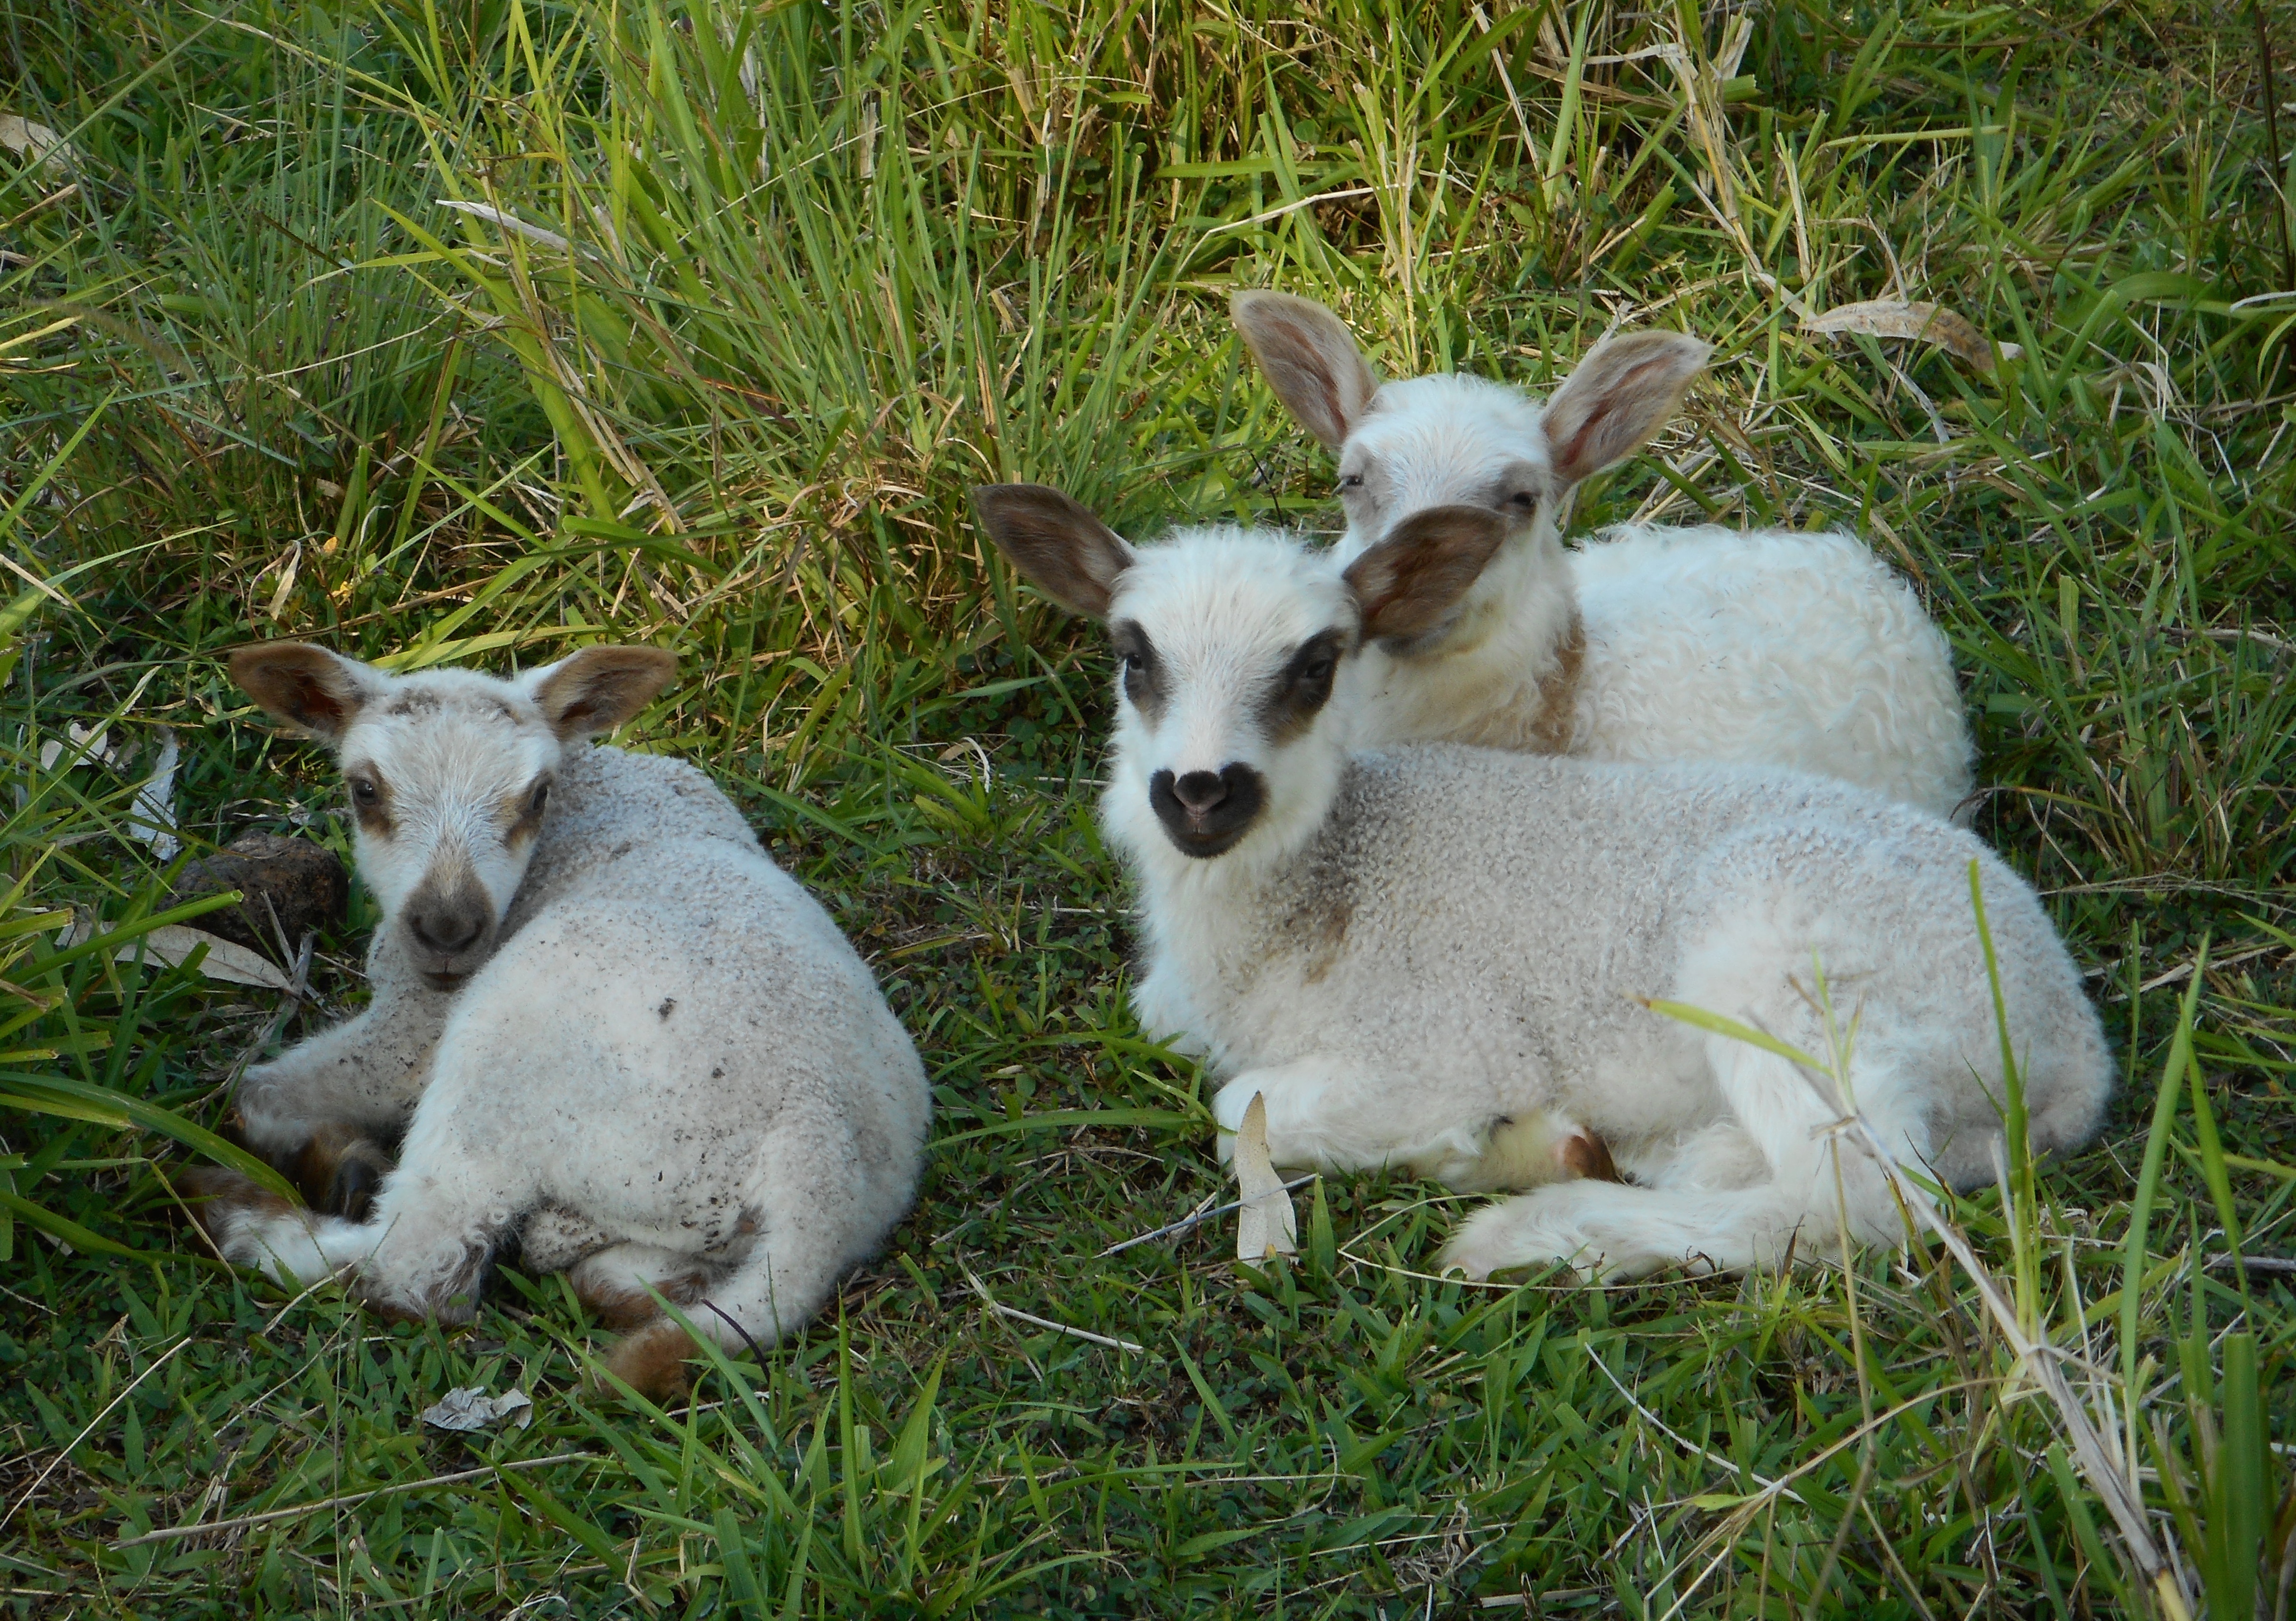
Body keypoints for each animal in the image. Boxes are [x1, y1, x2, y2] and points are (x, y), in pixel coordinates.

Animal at [184, 638, 927, 1396]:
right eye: (366, 790)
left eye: (537, 796)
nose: (449, 931)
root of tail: (816, 1159)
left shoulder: (412, 1030)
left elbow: (253, 1093)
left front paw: (333, 1156)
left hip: (515, 1056)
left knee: (417, 1270)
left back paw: (238, 1216)